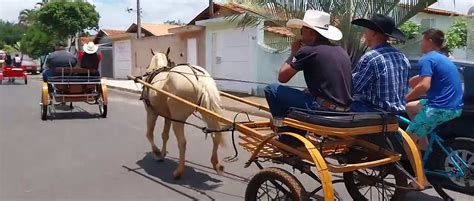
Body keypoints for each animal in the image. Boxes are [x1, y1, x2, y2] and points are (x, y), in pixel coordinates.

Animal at [142, 48, 225, 179]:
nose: (146, 71)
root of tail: (200, 80)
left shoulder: (151, 112)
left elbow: (149, 134)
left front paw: (157, 152)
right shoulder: (168, 116)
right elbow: (165, 135)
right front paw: (162, 153)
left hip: (178, 119)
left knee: (182, 142)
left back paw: (179, 171)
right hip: (206, 111)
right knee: (216, 135)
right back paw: (216, 164)